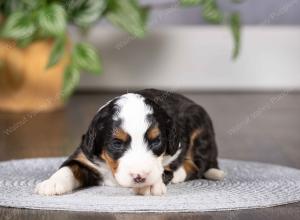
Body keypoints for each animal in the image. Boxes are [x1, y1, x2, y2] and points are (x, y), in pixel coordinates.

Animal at [34, 89, 224, 196]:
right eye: (117, 143)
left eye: (156, 141)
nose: (139, 177)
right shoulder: (84, 156)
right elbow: (68, 168)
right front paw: (51, 183)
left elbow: (161, 171)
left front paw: (150, 185)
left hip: (200, 129)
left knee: (198, 165)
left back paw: (179, 174)